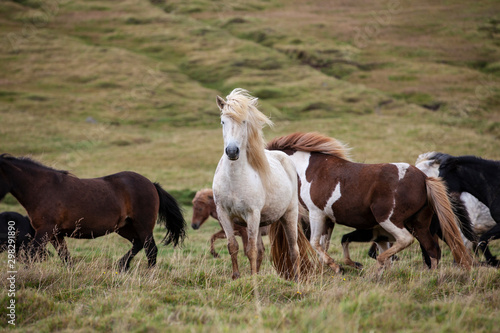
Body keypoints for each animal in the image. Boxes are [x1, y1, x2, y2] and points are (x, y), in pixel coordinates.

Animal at [0, 153, 187, 270]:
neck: (43, 188)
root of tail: (151, 184)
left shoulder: (44, 230)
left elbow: (30, 254)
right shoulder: (55, 234)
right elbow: (65, 257)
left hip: (143, 226)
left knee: (151, 250)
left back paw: (148, 274)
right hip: (125, 227)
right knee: (138, 244)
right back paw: (121, 266)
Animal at [266, 132, 472, 270]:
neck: (311, 169)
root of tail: (424, 178)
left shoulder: (317, 214)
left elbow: (316, 243)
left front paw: (337, 267)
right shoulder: (328, 219)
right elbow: (324, 243)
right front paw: (329, 269)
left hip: (389, 219)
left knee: (406, 240)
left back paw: (381, 263)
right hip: (419, 223)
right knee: (432, 249)